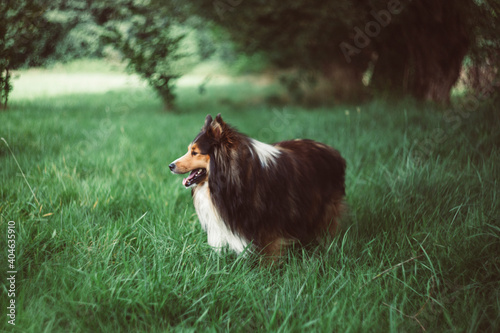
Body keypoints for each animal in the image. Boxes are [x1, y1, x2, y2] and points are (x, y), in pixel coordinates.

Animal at [170, 114, 346, 256]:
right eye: (189, 150)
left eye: (195, 152)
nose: (170, 165)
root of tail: (334, 152)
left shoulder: (271, 226)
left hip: (326, 207)